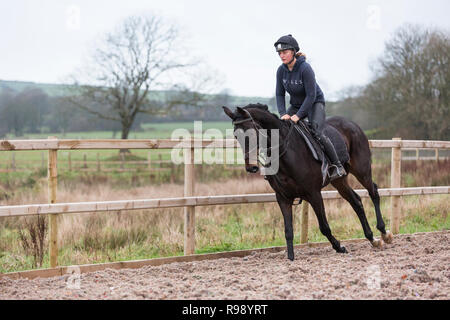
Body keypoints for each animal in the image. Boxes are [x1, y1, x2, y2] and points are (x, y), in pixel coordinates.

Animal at [223, 104, 392, 262]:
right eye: (236, 135)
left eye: (251, 133)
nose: (251, 167)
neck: (286, 154)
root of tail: (352, 123)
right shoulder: (283, 198)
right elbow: (288, 230)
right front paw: (291, 257)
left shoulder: (313, 194)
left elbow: (324, 227)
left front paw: (339, 247)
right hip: (340, 181)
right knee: (356, 201)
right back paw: (372, 238)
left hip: (362, 171)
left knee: (373, 192)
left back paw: (384, 233)